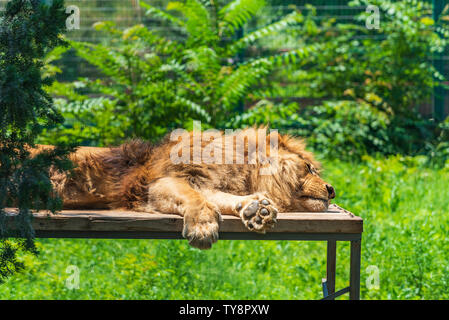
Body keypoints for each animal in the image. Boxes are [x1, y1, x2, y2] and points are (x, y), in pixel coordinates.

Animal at [33, 127, 334, 250]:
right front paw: (202, 229)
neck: (243, 167)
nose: (332, 190)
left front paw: (256, 209)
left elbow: (222, 199)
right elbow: (196, 201)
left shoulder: (208, 184)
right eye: (309, 168)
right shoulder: (164, 183)